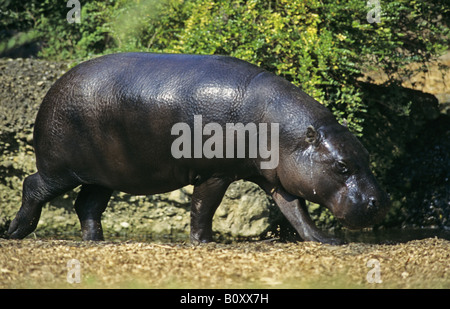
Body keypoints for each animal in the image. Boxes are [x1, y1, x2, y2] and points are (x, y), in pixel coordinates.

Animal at [8, 53, 392, 243]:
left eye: (366, 156)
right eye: (342, 166)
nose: (382, 202)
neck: (285, 132)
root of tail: (54, 87)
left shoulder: (279, 176)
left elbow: (295, 210)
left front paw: (324, 240)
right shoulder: (215, 172)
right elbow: (204, 207)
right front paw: (204, 241)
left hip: (103, 175)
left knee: (87, 205)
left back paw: (95, 241)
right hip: (60, 168)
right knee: (33, 185)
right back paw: (15, 232)